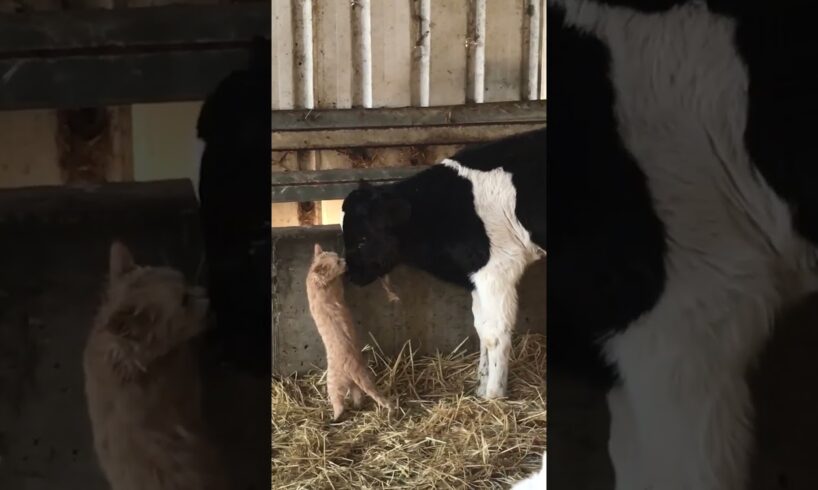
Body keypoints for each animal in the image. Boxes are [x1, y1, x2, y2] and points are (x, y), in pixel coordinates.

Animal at [306, 243, 396, 420]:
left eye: (337, 256)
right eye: (337, 262)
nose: (345, 260)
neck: (316, 281)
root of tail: (354, 369)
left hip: (340, 385)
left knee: (345, 401)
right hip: (342, 384)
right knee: (350, 400)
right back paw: (340, 415)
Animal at [342, 128, 544, 400]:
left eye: (363, 239)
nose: (351, 275)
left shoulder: (496, 272)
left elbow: (495, 333)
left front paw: (494, 394)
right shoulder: (475, 275)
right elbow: (481, 327)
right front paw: (481, 386)